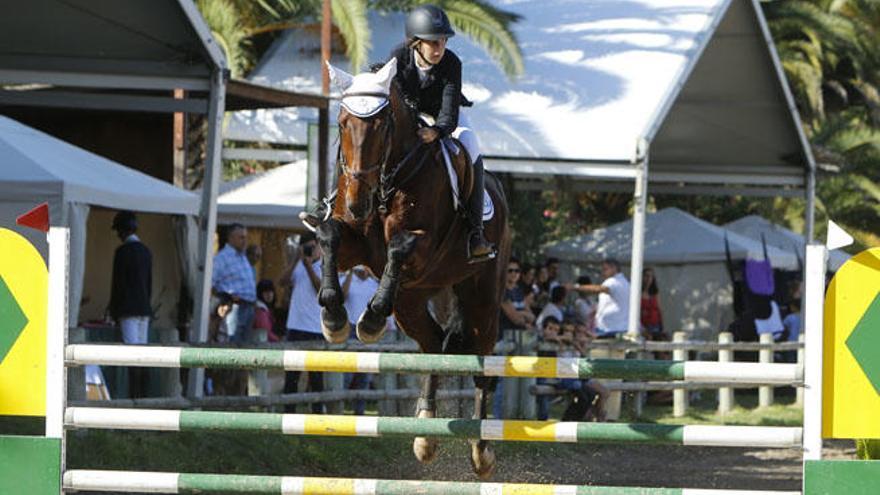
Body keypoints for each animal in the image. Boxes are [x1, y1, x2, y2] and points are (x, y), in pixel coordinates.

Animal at [312, 59, 512, 480]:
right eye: (341, 122)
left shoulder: (422, 249)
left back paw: (481, 450)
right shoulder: (354, 246)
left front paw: (370, 317)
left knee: (483, 363)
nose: (358, 203)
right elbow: (329, 235)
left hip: (482, 300)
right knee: (433, 347)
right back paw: (425, 435)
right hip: (411, 303)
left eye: (382, 125)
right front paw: (335, 317)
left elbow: (399, 247)